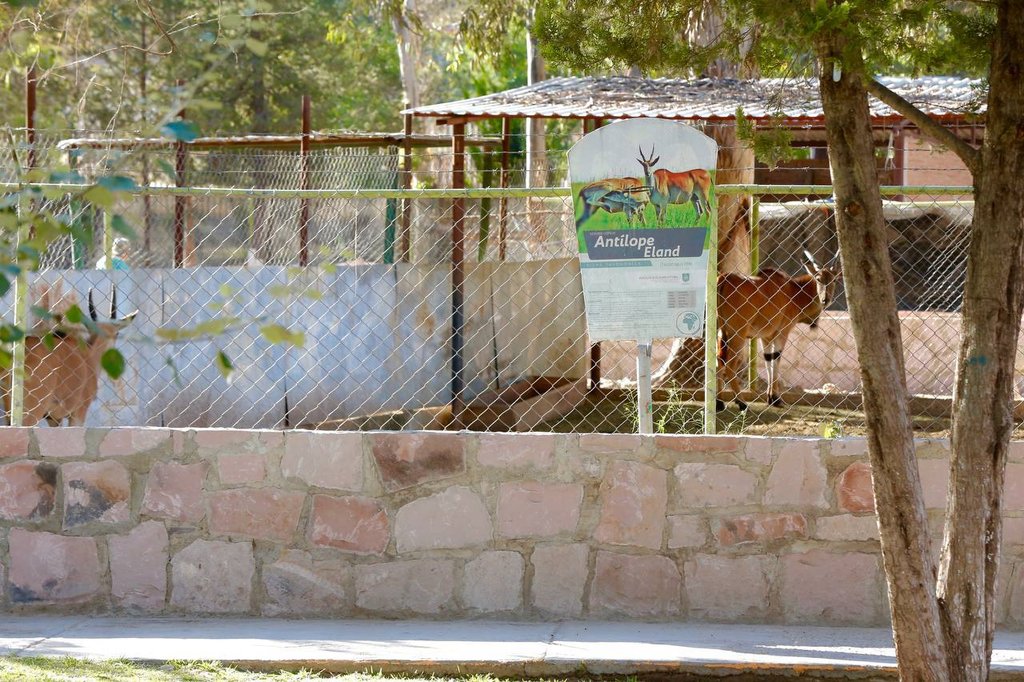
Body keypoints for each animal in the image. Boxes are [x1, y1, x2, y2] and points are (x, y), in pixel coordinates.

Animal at [712, 249, 839, 409]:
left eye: (834, 280)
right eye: (818, 279)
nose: (825, 300)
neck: (793, 291)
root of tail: (724, 278)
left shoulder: (765, 336)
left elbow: (768, 359)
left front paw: (770, 397)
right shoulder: (782, 332)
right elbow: (776, 358)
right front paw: (775, 398)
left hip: (720, 332)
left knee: (718, 361)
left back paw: (718, 402)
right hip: (737, 335)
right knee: (728, 364)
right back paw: (741, 402)